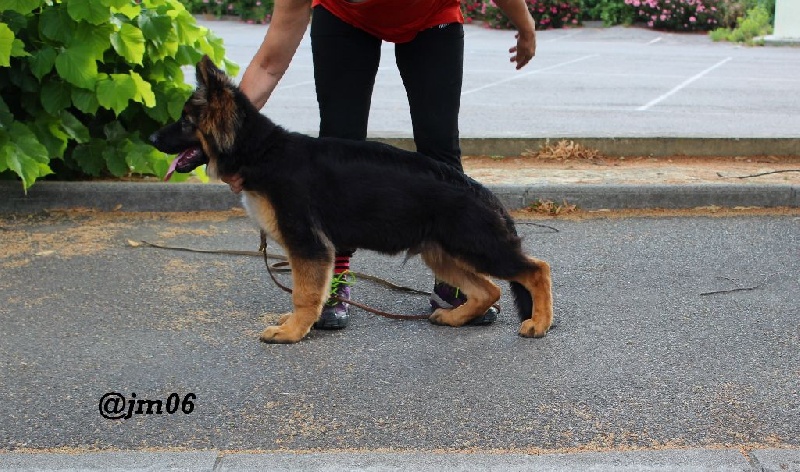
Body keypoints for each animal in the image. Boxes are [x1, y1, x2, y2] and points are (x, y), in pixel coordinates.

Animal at [148, 56, 552, 342]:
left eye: (184, 122)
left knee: (536, 269)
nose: (150, 138)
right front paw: (297, 325)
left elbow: (303, 292)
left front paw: (293, 331)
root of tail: (483, 193)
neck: (260, 150)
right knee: (490, 289)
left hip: (475, 247)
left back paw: (539, 323)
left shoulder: (308, 245)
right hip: (442, 253)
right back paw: (456, 316)